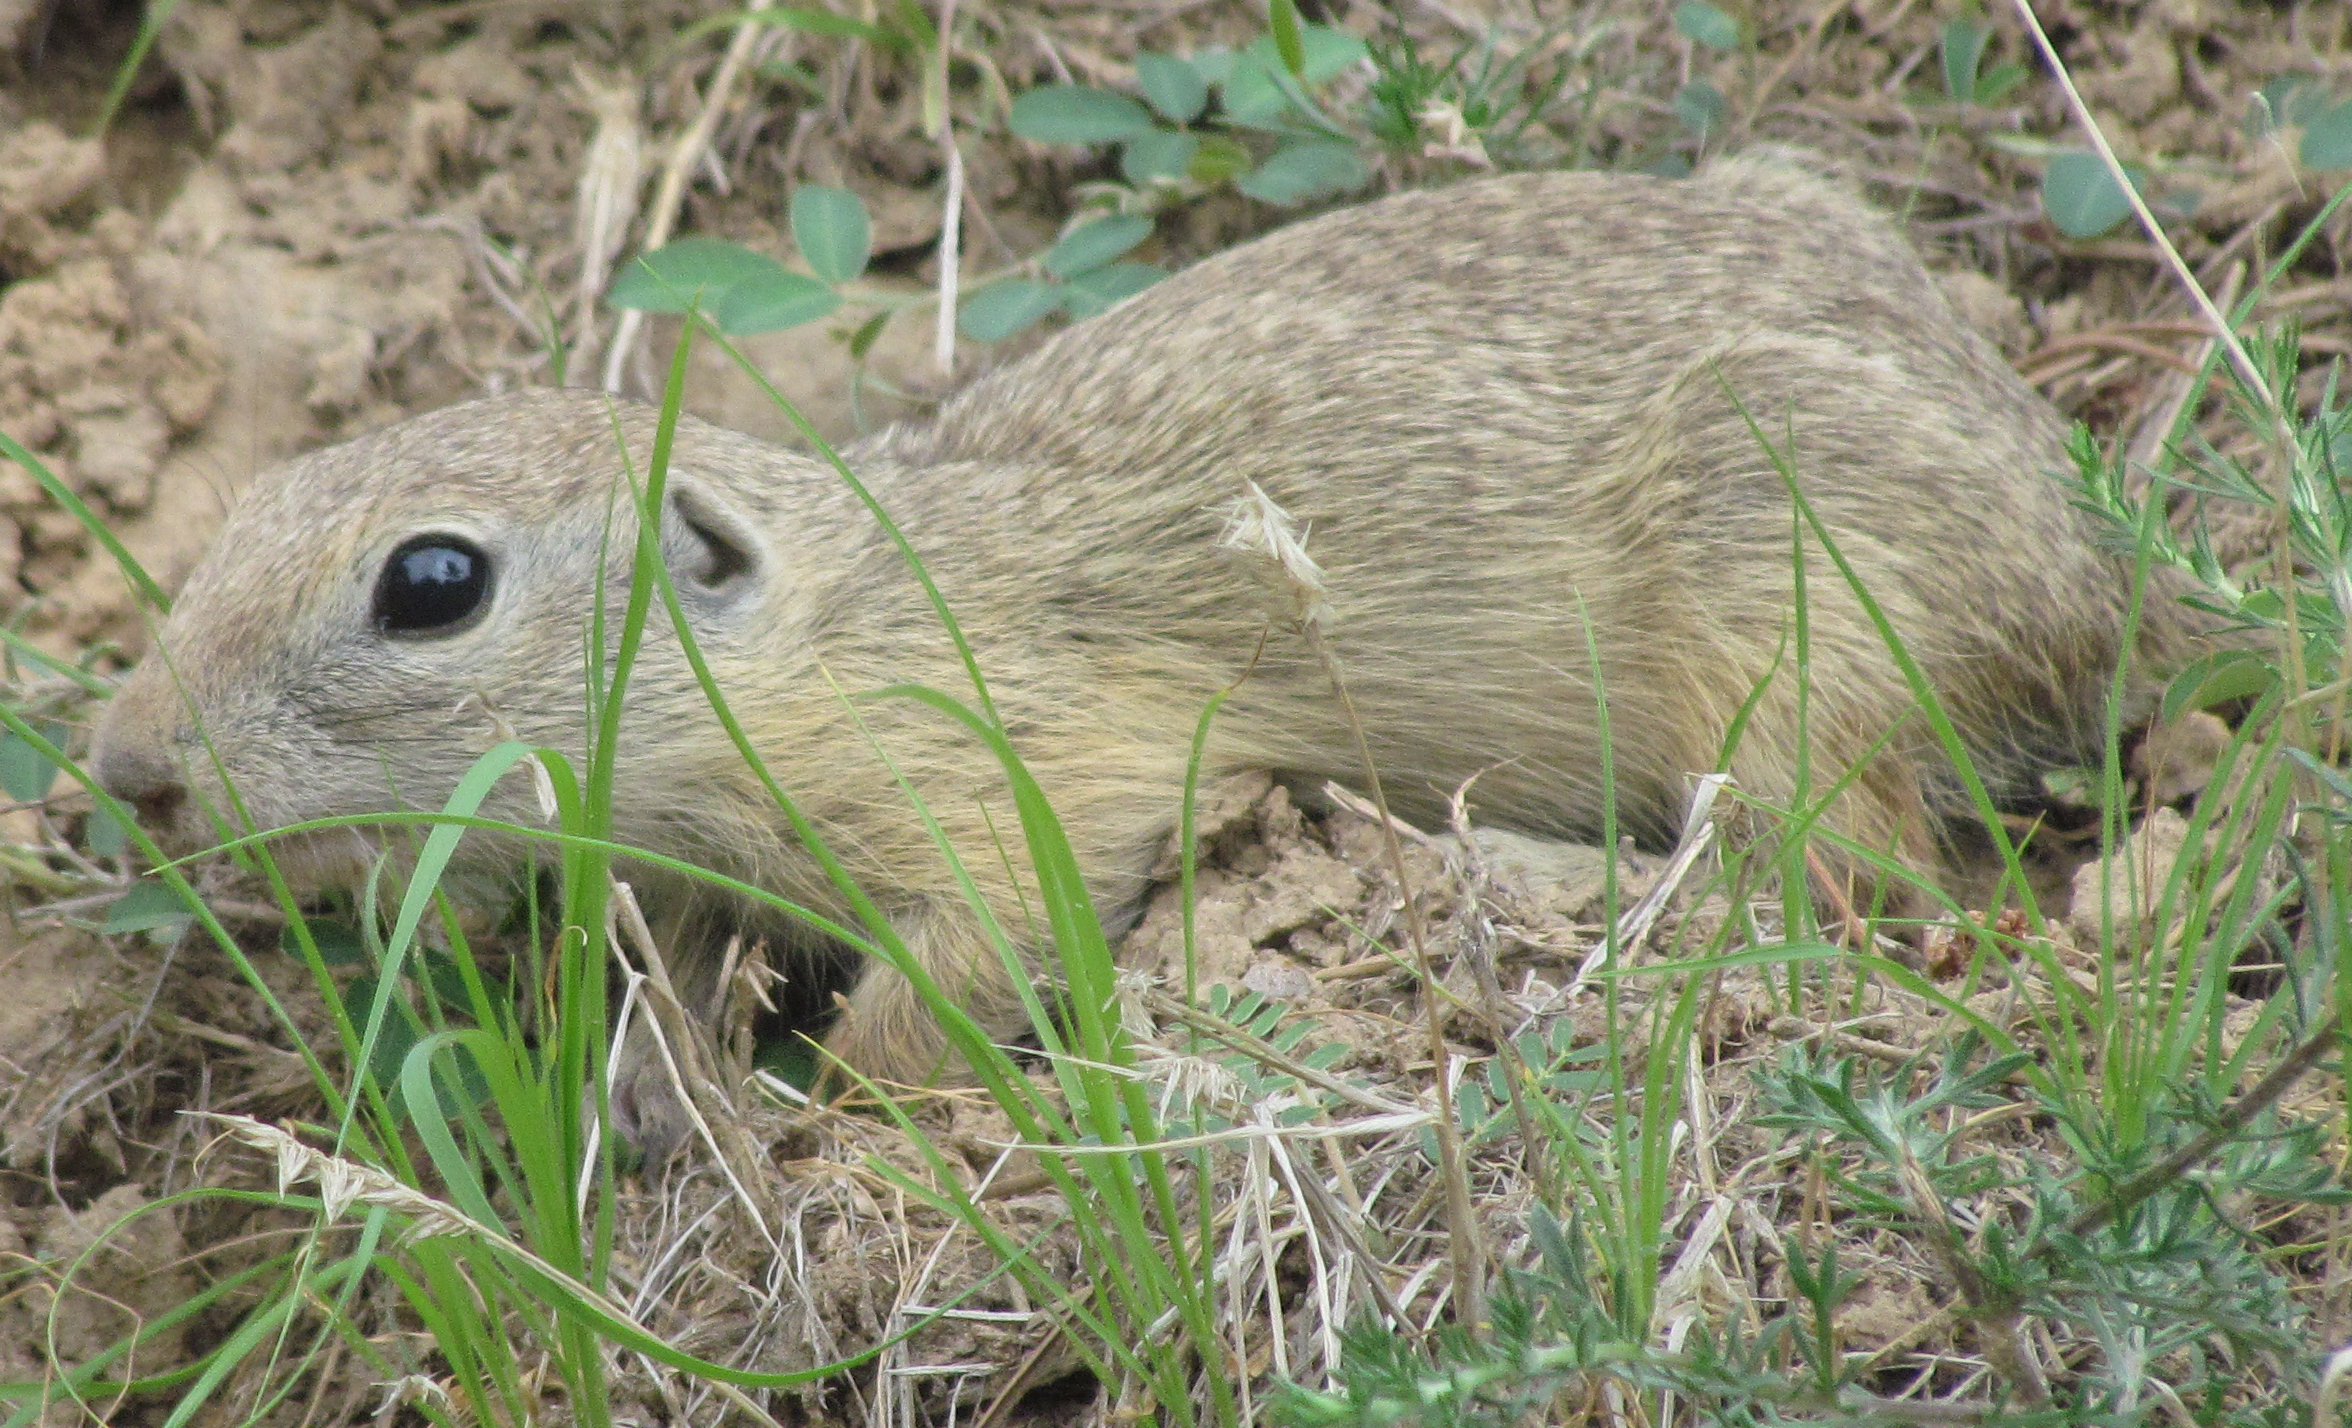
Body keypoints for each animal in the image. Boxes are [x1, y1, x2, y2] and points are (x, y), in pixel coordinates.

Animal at [82, 154, 2192, 1138]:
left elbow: (957, 964)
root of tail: (2093, 575)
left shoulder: (1017, 777)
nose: (122, 772)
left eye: (431, 583)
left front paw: (825, 1102)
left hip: (1786, 600)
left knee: (1842, 867)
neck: (828, 618)